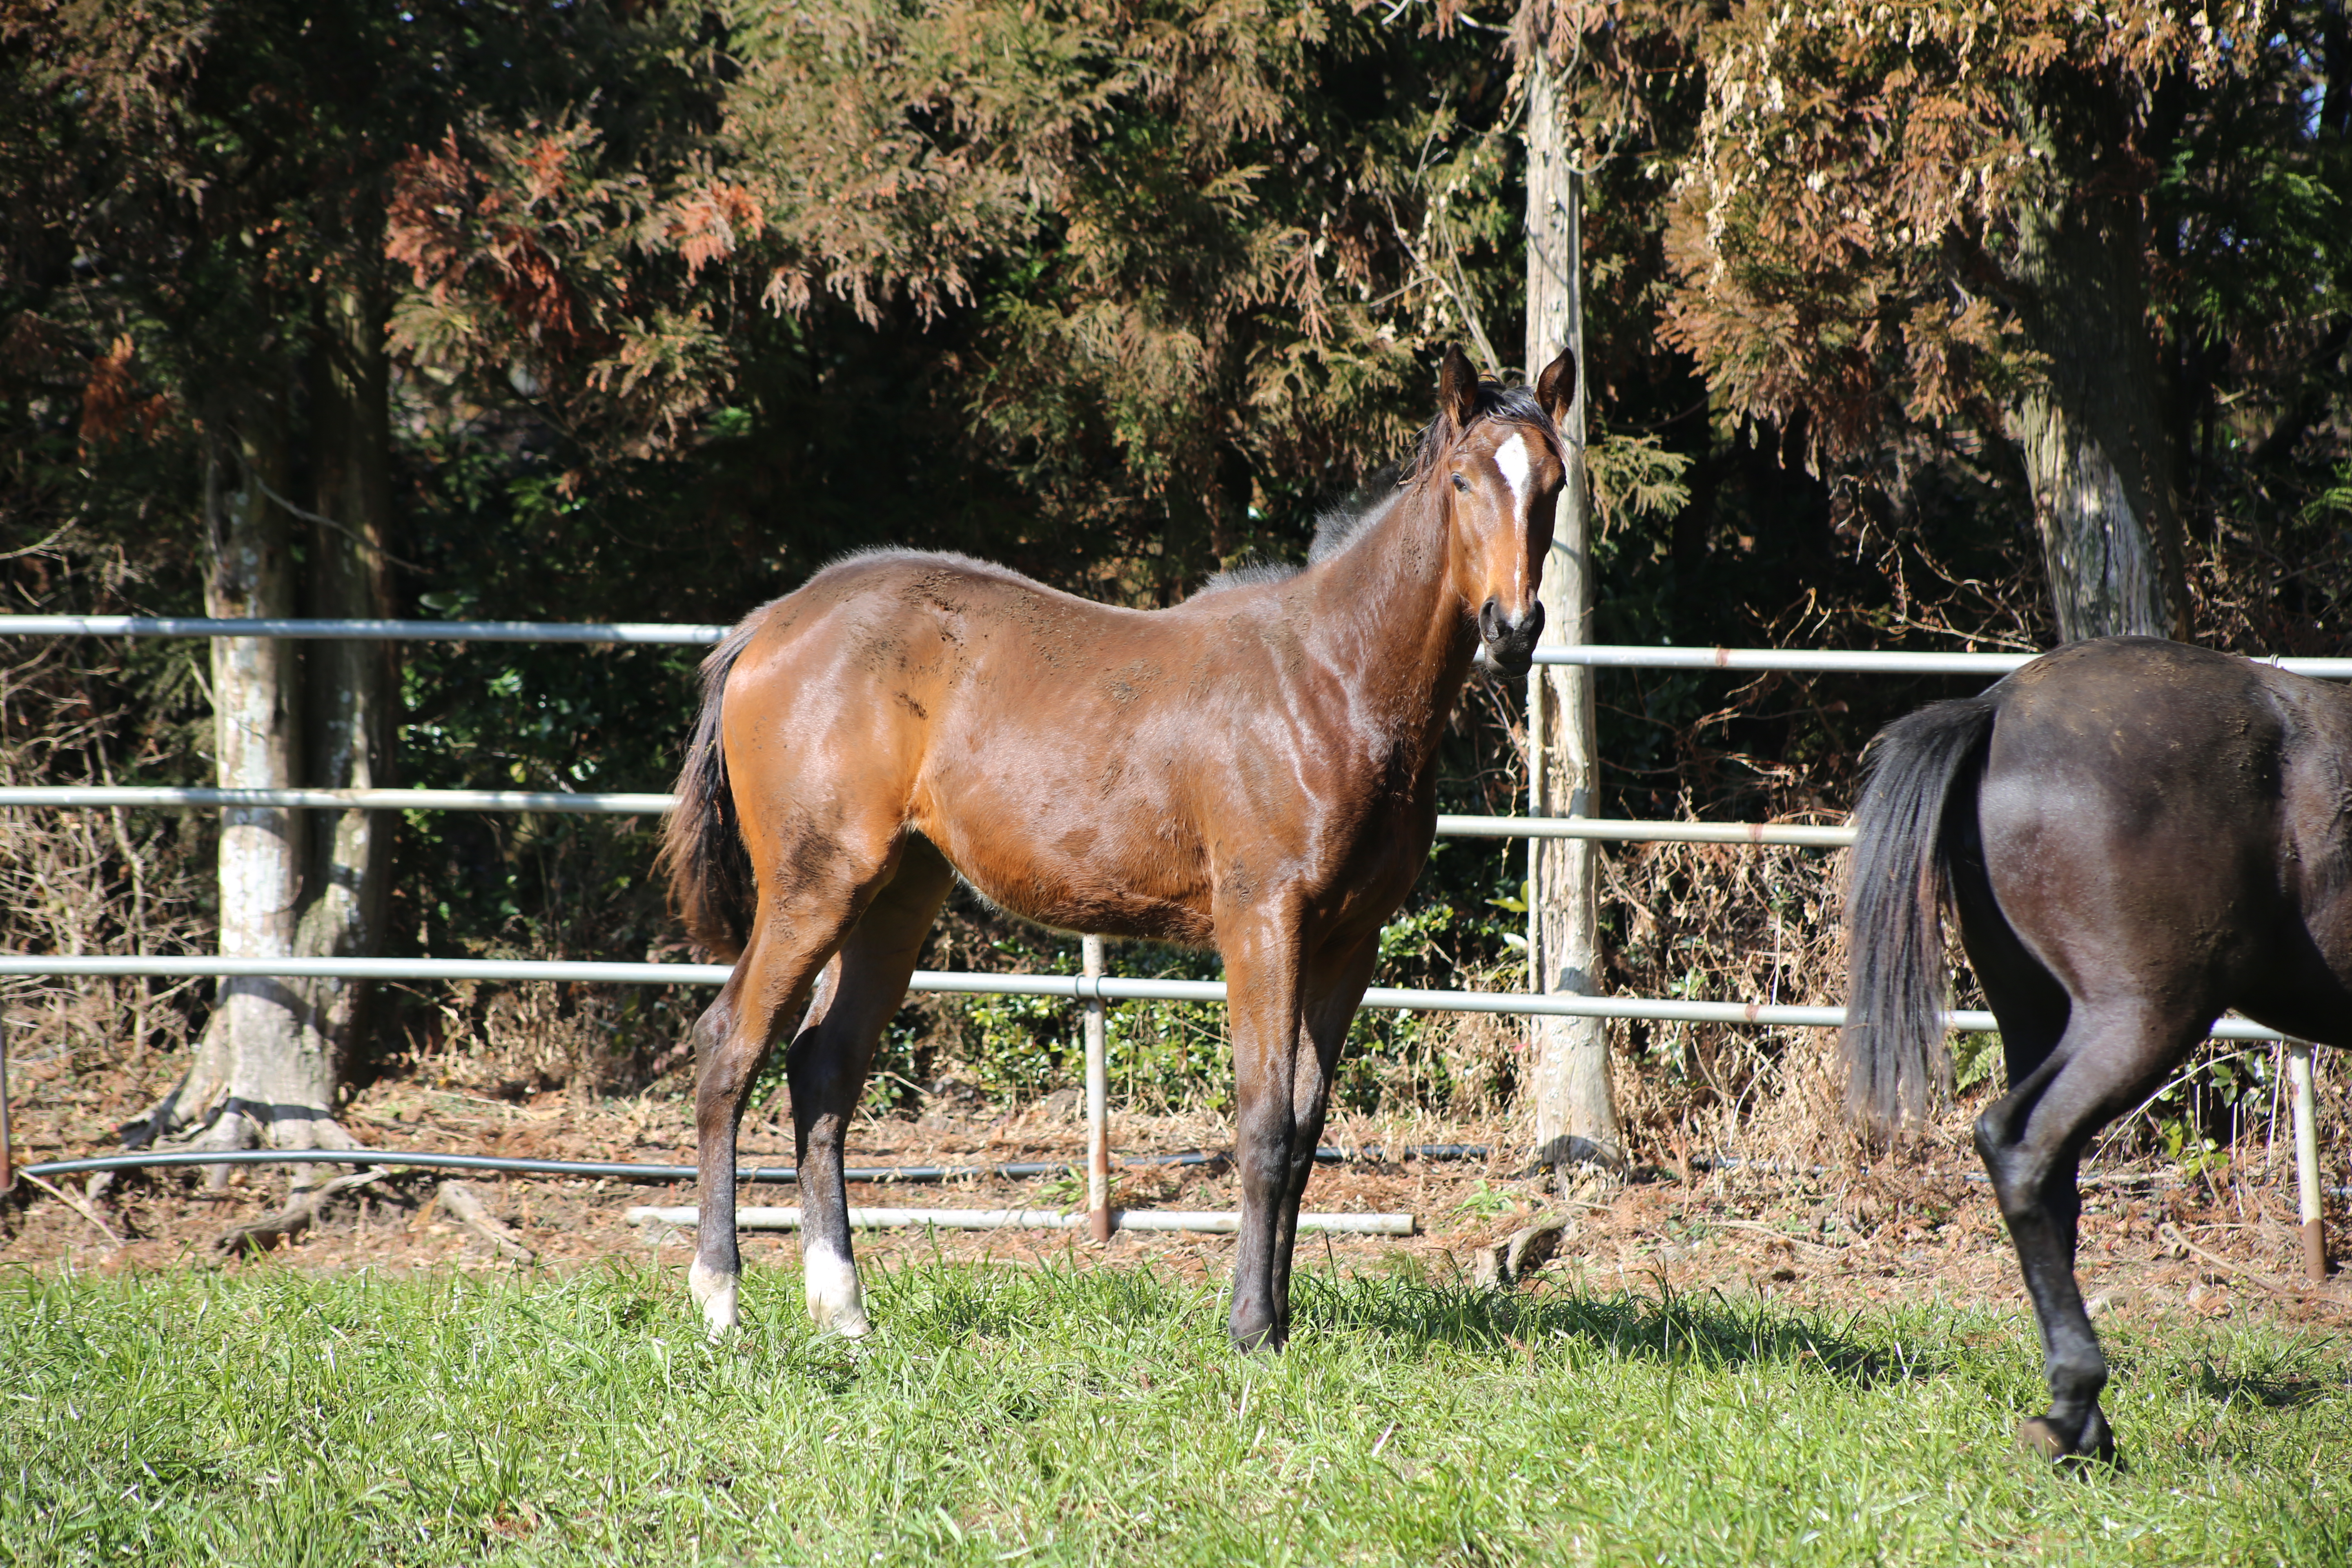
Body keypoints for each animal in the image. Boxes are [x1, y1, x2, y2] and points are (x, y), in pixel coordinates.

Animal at [663, 343, 1580, 1354]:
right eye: (1462, 481)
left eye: (1554, 482)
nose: (1513, 630)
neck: (1332, 680)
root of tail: (769, 627)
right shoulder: (1262, 921)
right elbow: (1263, 1124)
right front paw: (1251, 1328)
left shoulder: (1351, 942)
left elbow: (1305, 1130)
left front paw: (1281, 1319)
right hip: (814, 883)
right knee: (728, 1048)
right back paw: (719, 1300)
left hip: (896, 894)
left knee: (823, 1067)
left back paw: (844, 1310)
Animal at [1844, 630, 2342, 1467]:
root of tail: (1996, 708)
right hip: (2140, 1014)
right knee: (2019, 1143)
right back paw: (2075, 1406)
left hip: (2037, 1011)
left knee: (2049, 1178)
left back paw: (2076, 1421)